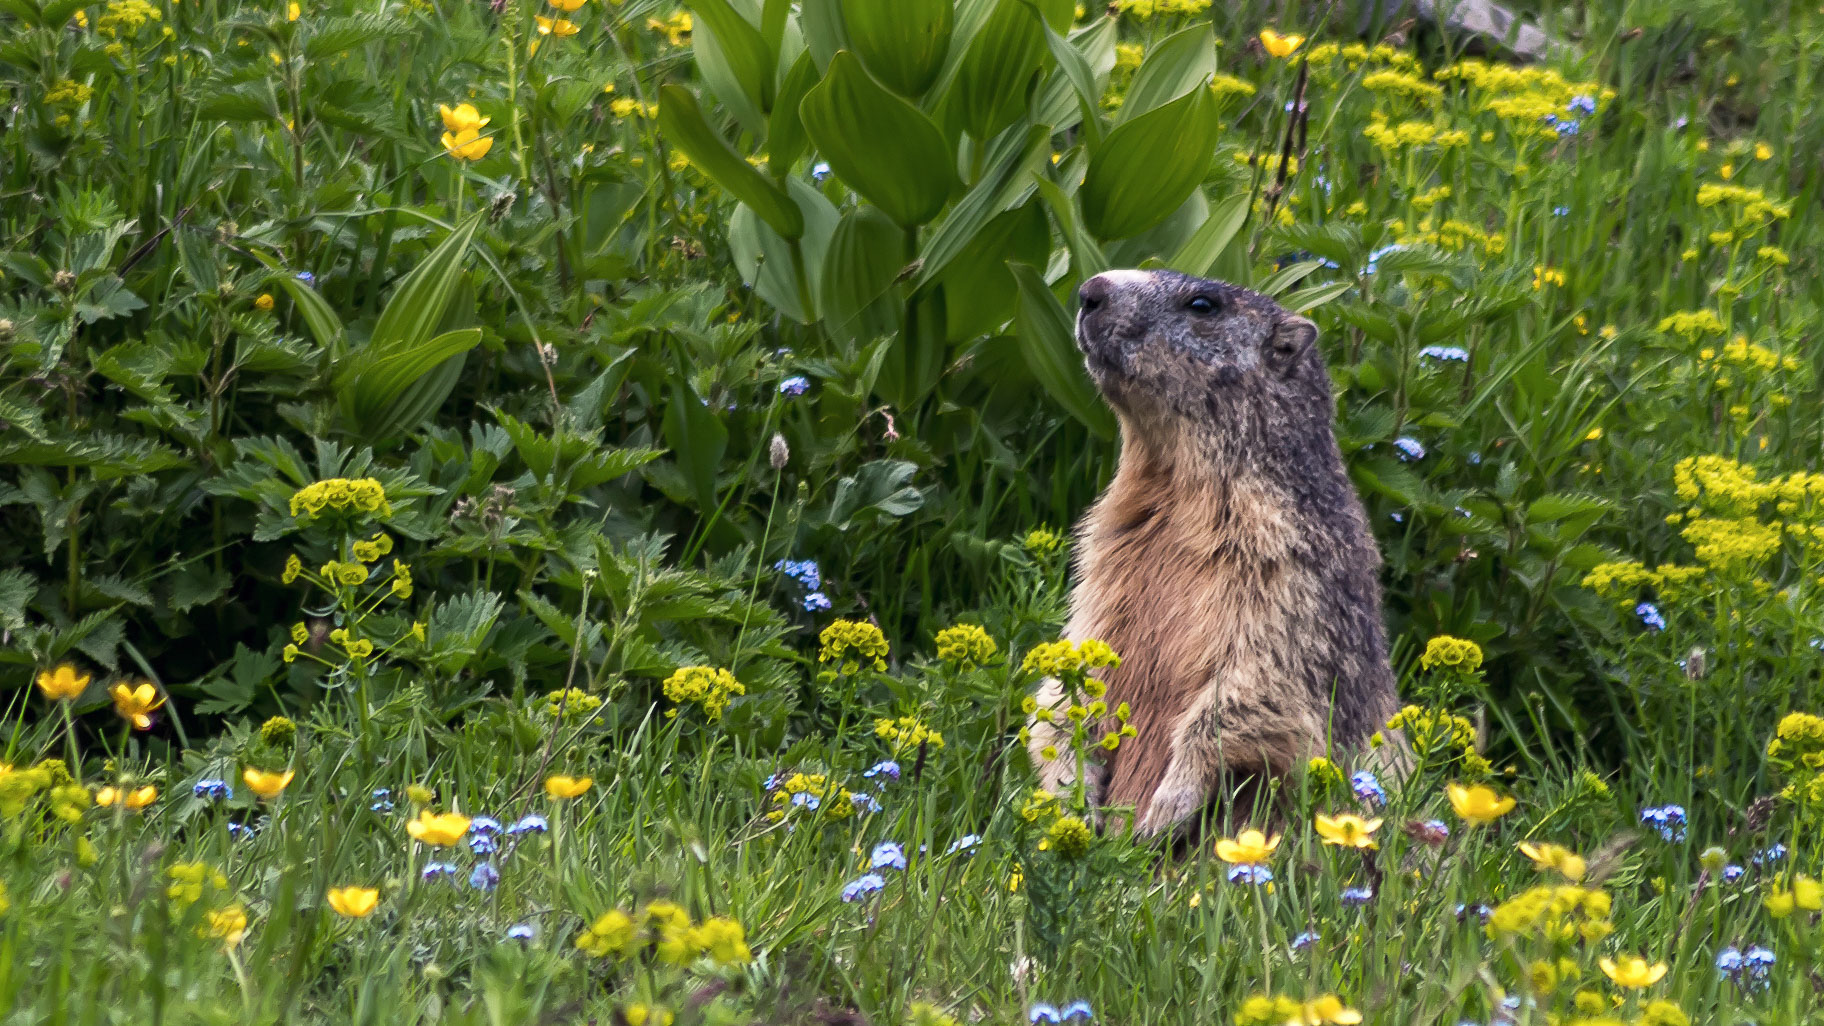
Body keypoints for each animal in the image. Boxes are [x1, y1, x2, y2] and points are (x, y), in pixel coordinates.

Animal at [1027, 269, 1402, 837]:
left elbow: (1258, 679)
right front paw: (1075, 798)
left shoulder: (1291, 566)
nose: (1090, 289)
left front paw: (1164, 810)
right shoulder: (1102, 561)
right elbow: (1080, 670)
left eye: (1203, 305)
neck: (1172, 483)